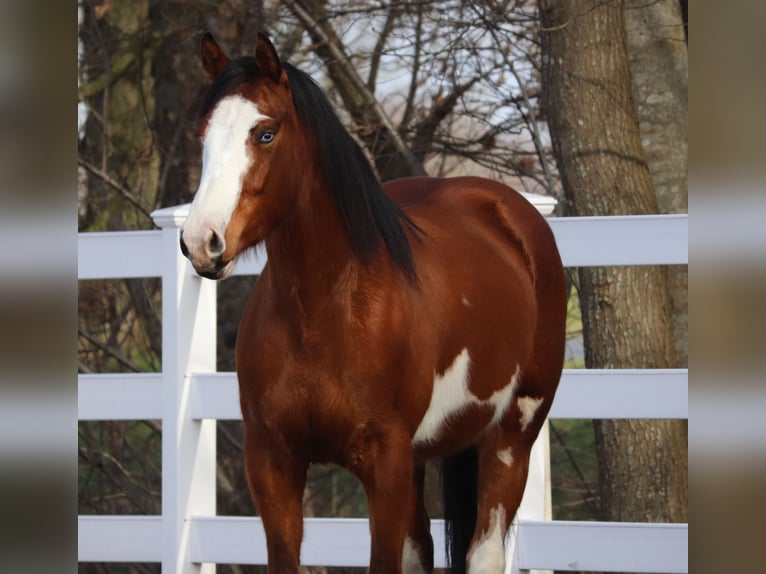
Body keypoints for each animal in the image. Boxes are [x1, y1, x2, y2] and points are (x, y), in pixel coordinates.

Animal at [179, 32, 567, 574]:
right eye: (204, 135)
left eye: (265, 134)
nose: (201, 241)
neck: (325, 311)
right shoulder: (272, 461)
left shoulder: (385, 464)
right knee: (422, 548)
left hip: (511, 438)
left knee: (484, 550)